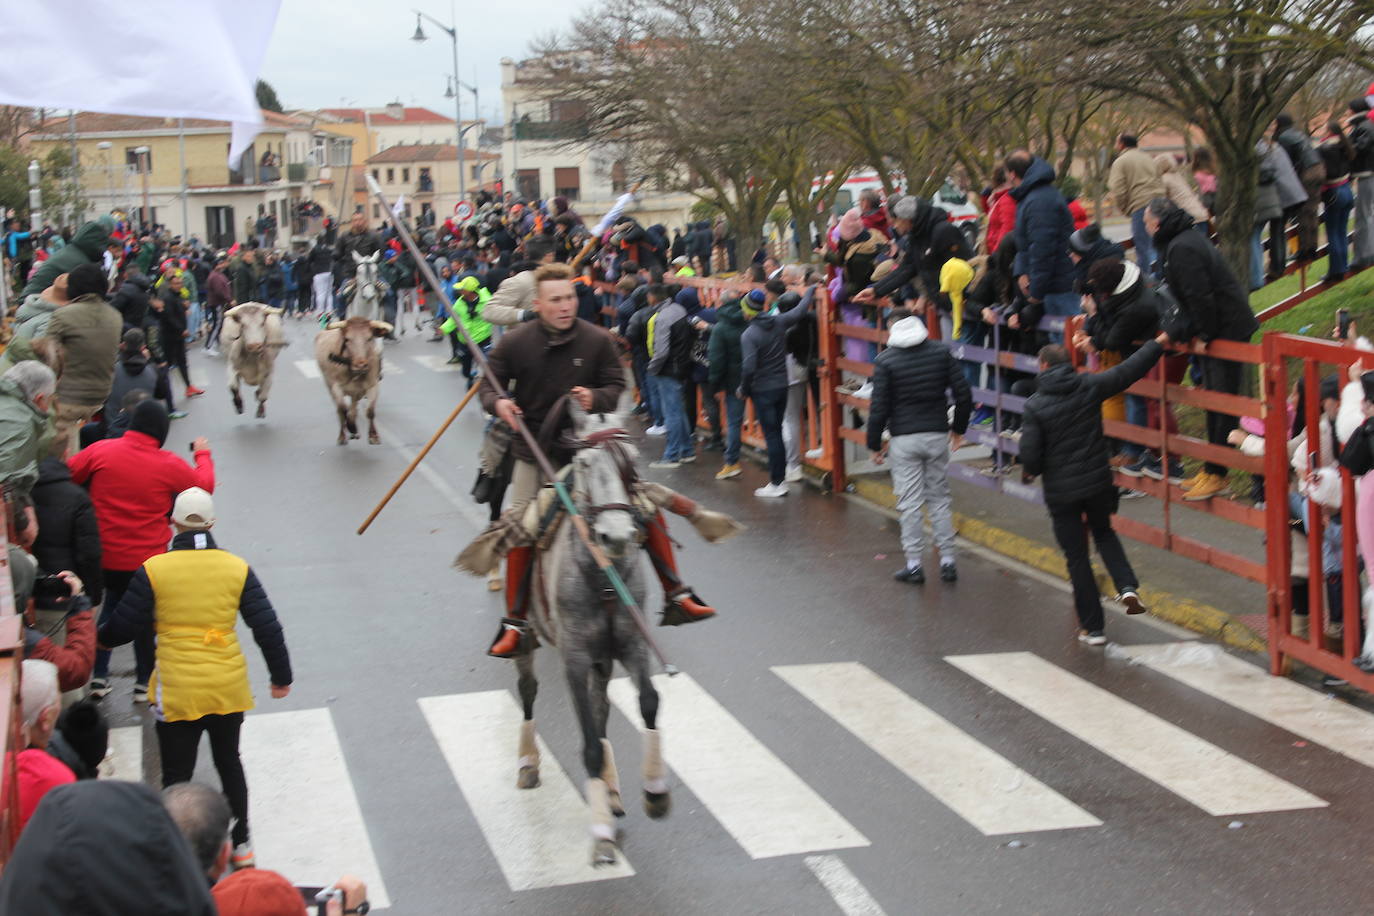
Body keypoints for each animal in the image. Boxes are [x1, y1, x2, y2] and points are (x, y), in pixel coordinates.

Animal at [513, 403, 667, 862]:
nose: (615, 536)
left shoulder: (632, 645)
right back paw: (528, 763)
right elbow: (590, 745)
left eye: (630, 461)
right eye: (583, 463)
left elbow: (648, 702)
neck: (602, 576)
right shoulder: (575, 659)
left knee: (601, 708)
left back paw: (612, 792)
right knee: (528, 691)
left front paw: (655, 792)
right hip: (528, 638)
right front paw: (601, 837)